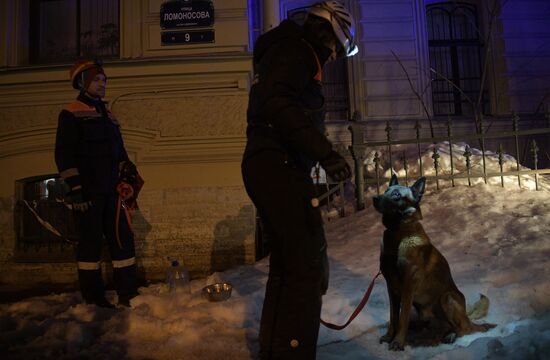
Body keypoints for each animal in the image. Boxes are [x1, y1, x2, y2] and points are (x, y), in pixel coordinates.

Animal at [376, 176, 496, 350]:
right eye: (386, 191)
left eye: (397, 194)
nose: (375, 199)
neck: (398, 233)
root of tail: (467, 316)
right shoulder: (391, 286)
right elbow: (393, 317)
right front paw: (389, 337)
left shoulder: (408, 285)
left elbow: (402, 318)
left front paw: (398, 342)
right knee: (447, 326)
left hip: (447, 298)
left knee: (464, 329)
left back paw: (452, 335)